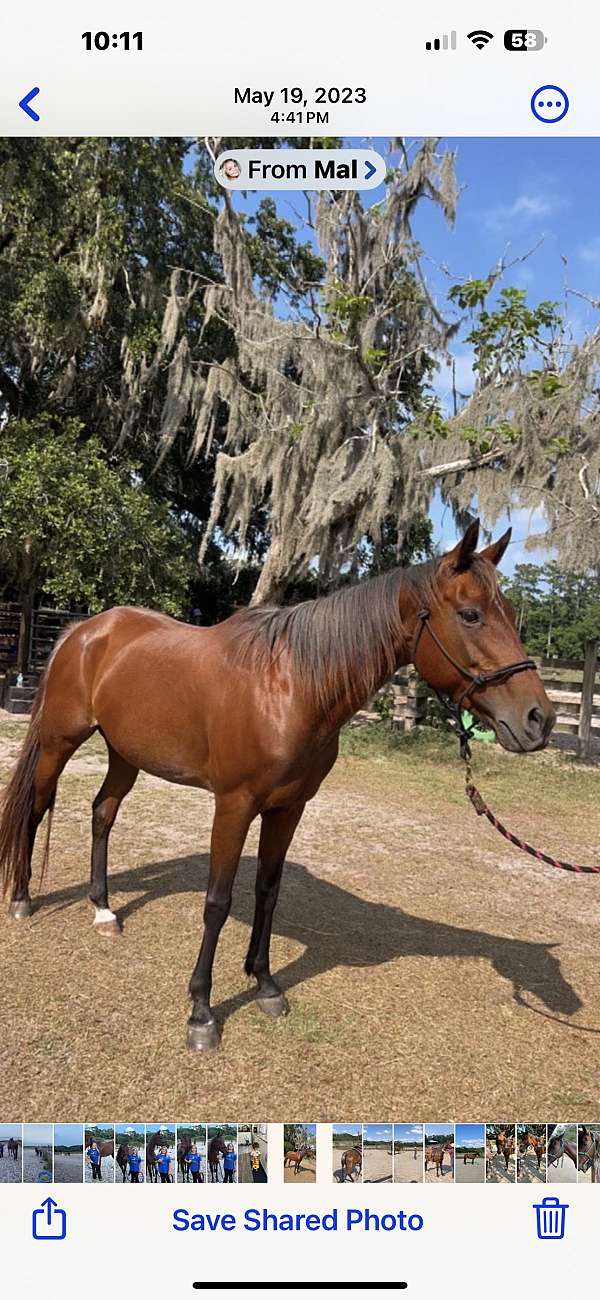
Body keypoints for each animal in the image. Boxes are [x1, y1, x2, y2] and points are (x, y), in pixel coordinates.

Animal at [0, 517, 553, 1045]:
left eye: (510, 613)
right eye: (471, 614)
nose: (539, 720)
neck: (291, 686)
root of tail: (84, 631)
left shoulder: (289, 808)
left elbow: (268, 890)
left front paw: (264, 983)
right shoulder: (234, 806)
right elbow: (218, 902)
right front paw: (201, 1012)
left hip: (124, 753)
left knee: (103, 812)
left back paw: (103, 909)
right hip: (60, 742)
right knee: (36, 807)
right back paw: (23, 899)